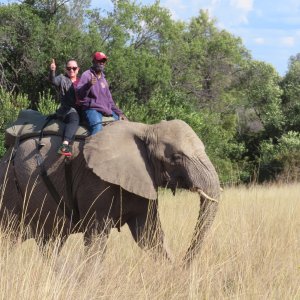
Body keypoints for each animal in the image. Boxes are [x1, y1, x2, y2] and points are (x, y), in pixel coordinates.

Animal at [0, 118, 220, 264]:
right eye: (176, 157)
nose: (185, 262)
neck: (146, 129)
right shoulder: (94, 182)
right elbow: (97, 238)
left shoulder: (143, 179)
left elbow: (149, 236)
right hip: (9, 187)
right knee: (8, 237)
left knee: (50, 244)